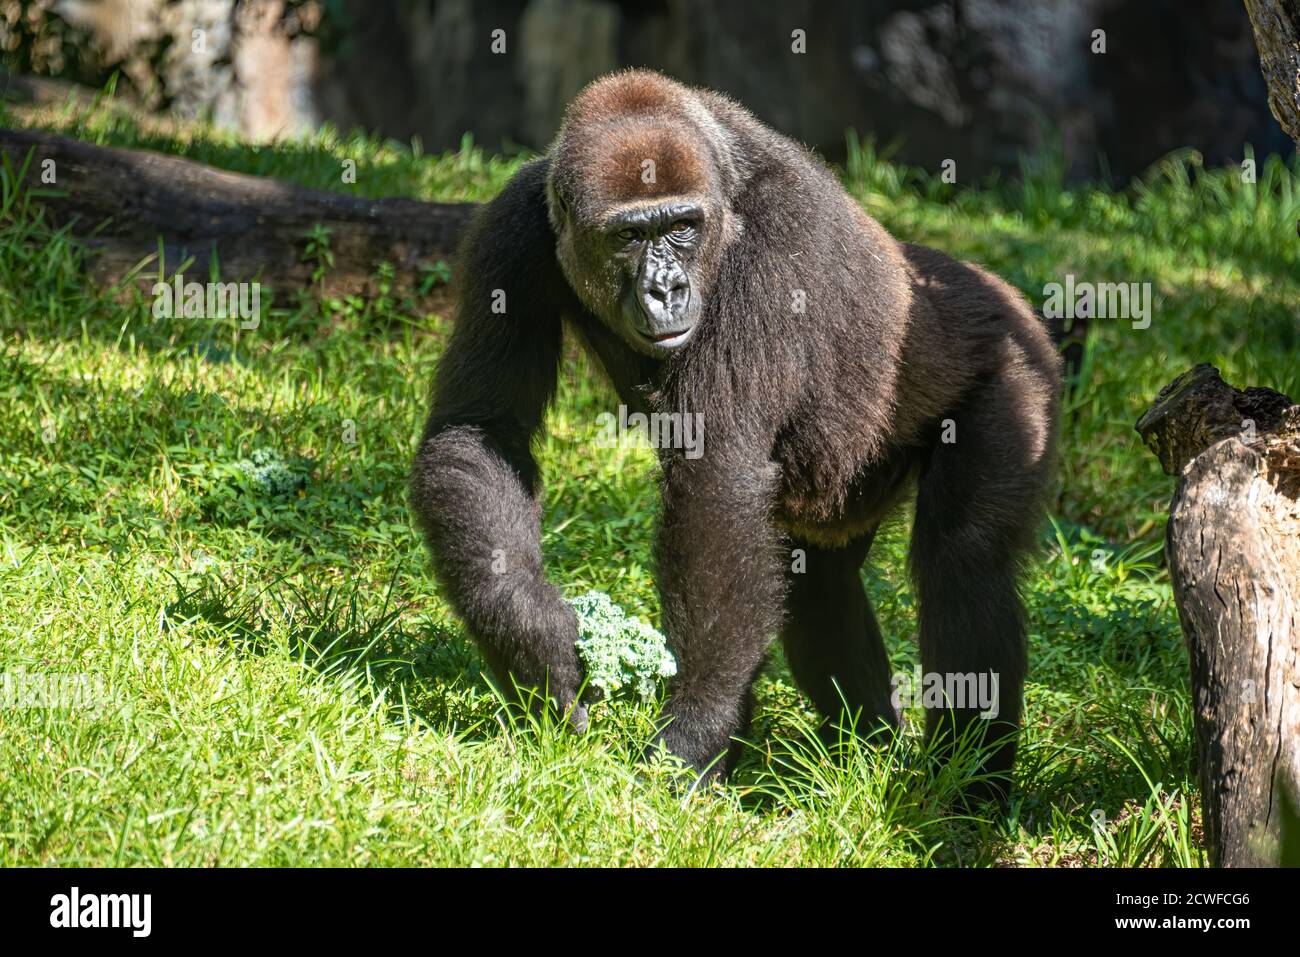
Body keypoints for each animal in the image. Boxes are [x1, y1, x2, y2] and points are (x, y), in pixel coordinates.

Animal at [410, 69, 1061, 801]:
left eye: (682, 227)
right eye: (629, 236)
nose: (667, 289)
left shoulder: (777, 236)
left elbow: (715, 475)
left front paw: (697, 730)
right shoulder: (512, 227)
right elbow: (482, 428)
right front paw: (533, 643)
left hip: (1016, 365)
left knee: (965, 563)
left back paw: (966, 792)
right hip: (843, 487)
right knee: (819, 586)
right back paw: (864, 750)